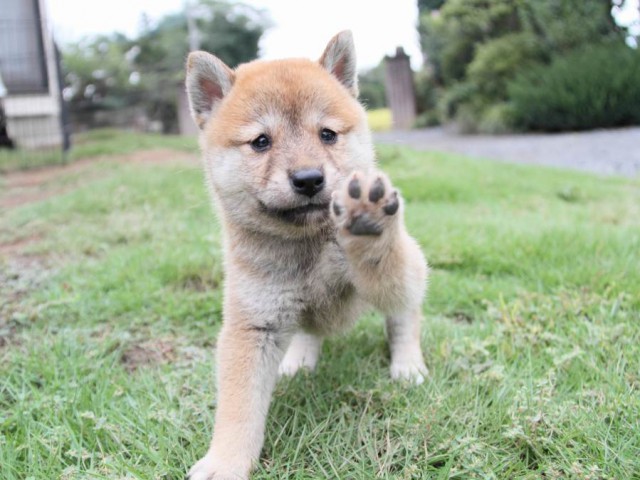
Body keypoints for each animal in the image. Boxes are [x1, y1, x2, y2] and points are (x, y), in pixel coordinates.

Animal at [182, 31, 428, 480]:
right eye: (261, 141)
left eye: (327, 134)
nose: (309, 179)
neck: (307, 246)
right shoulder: (253, 325)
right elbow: (238, 407)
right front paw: (225, 461)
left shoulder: (379, 276)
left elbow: (383, 274)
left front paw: (366, 223)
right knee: (309, 329)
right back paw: (299, 359)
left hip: (410, 272)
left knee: (403, 314)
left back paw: (406, 363)